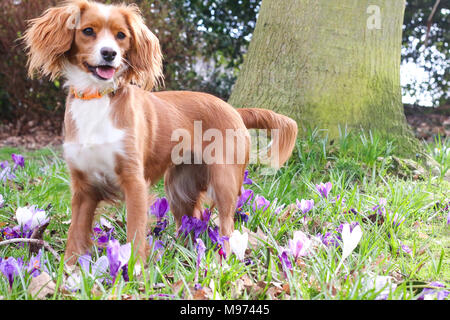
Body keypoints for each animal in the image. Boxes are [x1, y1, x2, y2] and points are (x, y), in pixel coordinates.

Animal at [23, 0, 298, 264]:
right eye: (88, 31)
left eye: (121, 35)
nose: (109, 53)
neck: (97, 97)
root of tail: (234, 109)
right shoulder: (83, 188)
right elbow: (75, 236)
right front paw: (69, 273)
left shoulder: (134, 181)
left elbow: (135, 232)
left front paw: (134, 270)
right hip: (179, 188)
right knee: (192, 222)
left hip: (224, 181)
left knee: (227, 226)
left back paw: (222, 260)